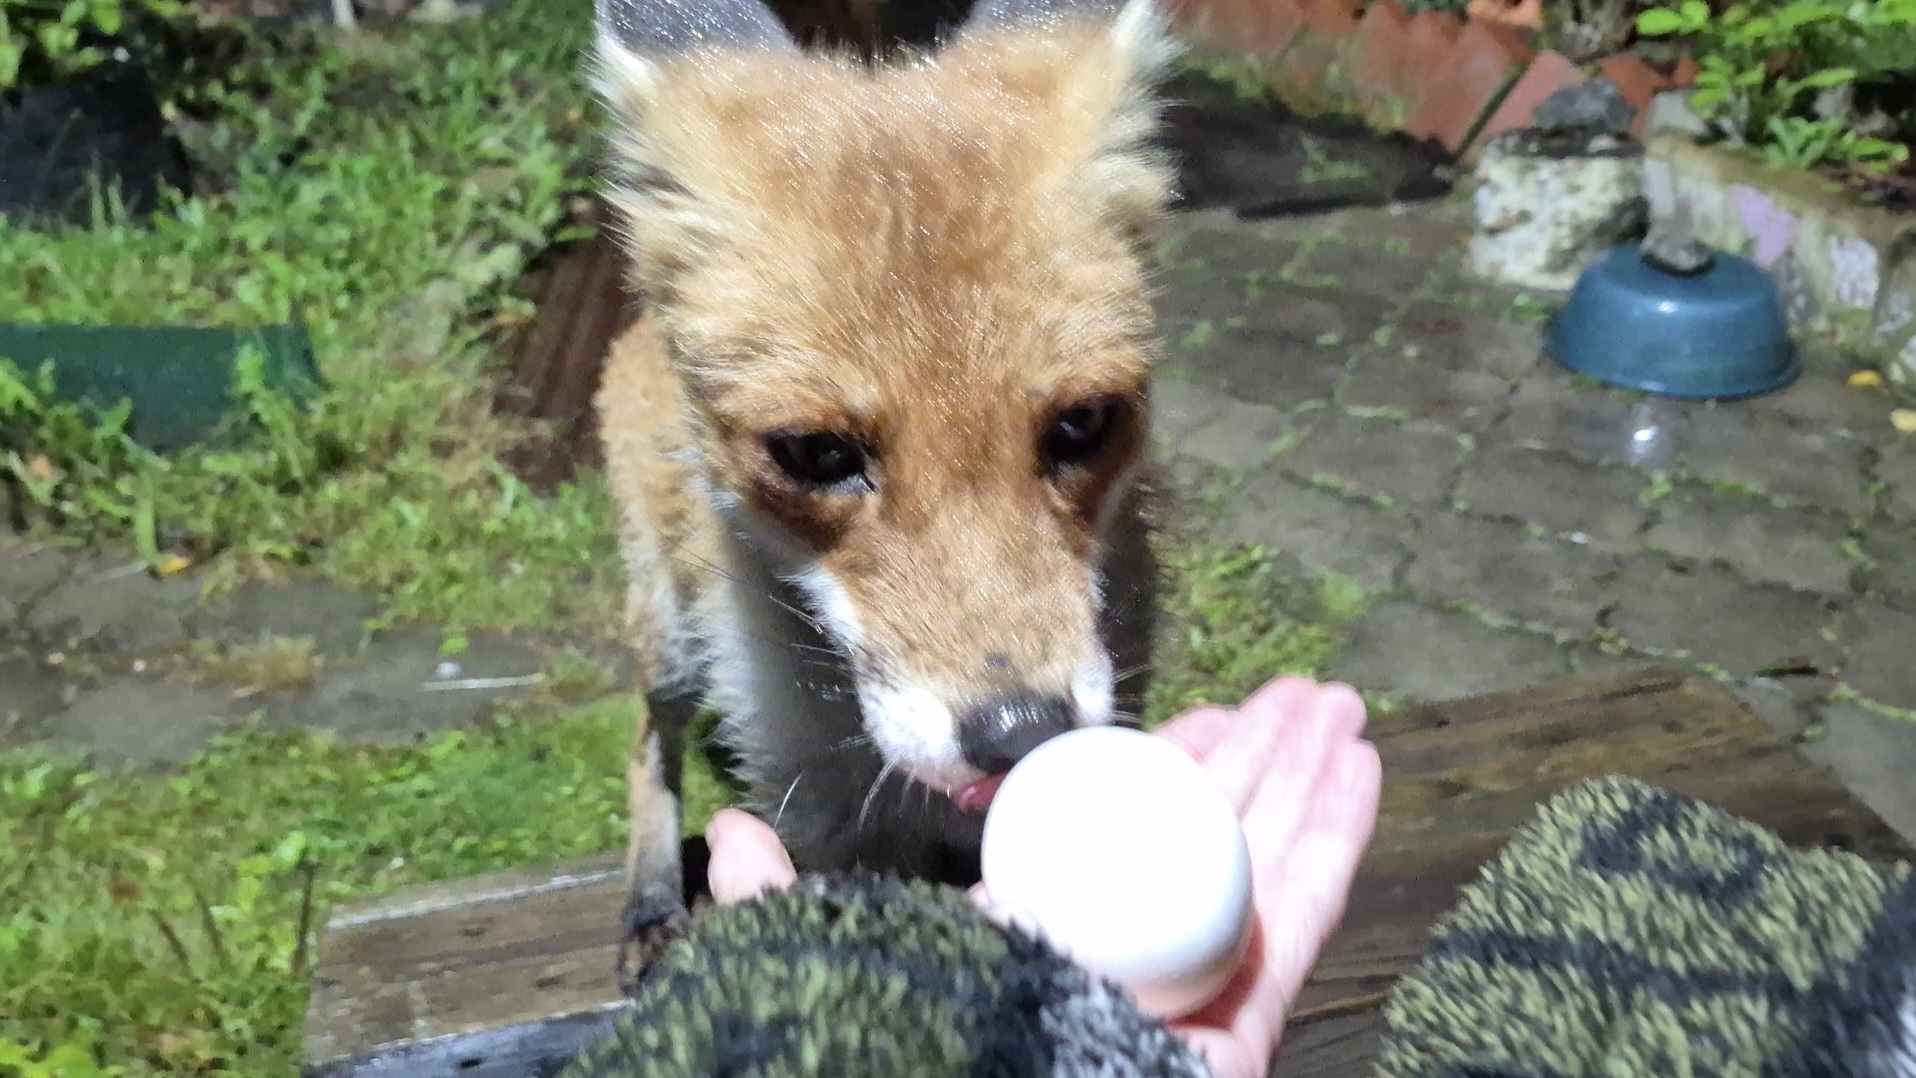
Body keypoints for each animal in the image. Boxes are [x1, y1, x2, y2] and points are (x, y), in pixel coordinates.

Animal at [588, 0, 1182, 975]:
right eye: (816, 454)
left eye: (1083, 425)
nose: (1023, 734)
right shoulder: (819, 829)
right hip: (673, 640)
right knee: (647, 740)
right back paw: (649, 898)